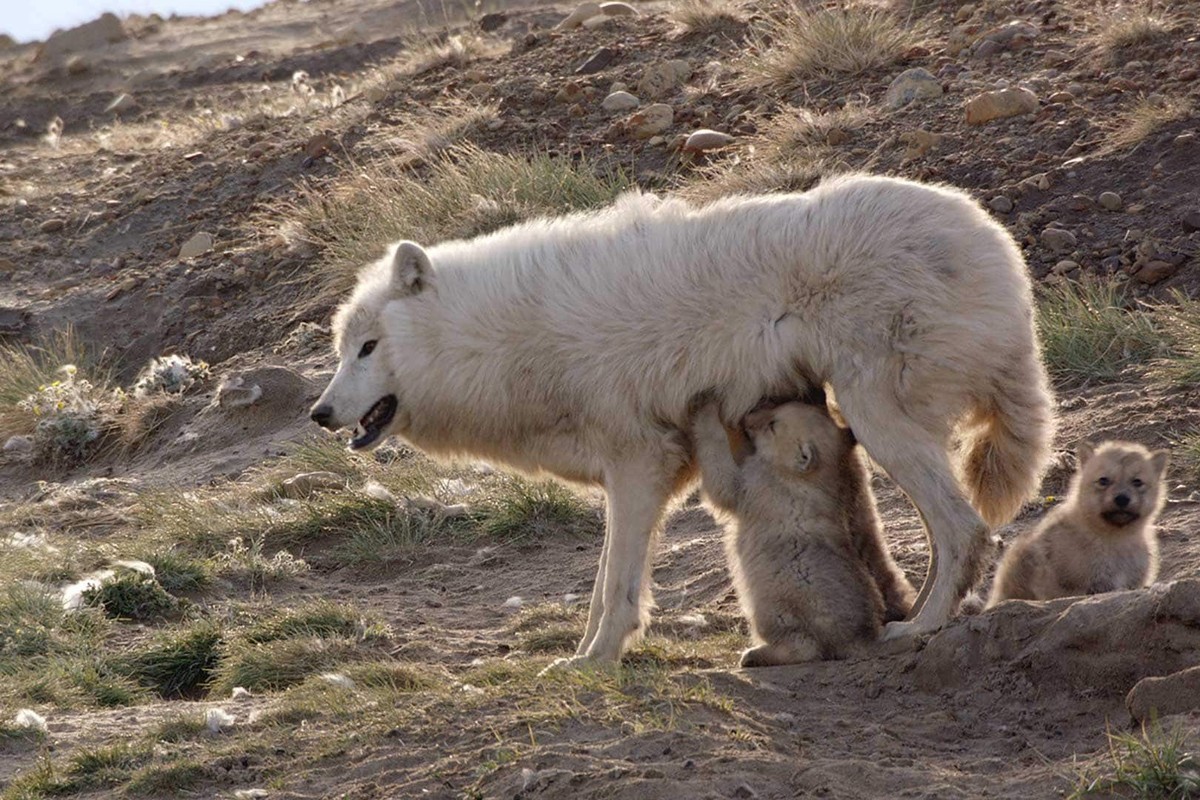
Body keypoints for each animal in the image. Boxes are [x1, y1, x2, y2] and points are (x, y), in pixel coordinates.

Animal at [314, 173, 1056, 662]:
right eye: (342, 350)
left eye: (369, 348)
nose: (320, 413)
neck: (497, 337)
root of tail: (997, 246)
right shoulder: (639, 473)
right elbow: (603, 583)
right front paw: (581, 656)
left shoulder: (640, 465)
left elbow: (617, 586)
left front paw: (595, 662)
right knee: (952, 533)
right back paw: (908, 616)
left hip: (878, 421)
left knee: (964, 531)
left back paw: (919, 629)